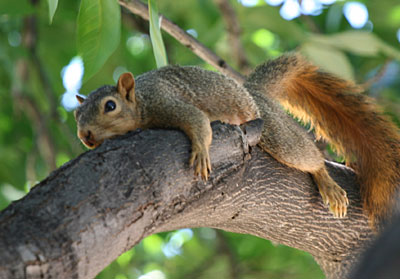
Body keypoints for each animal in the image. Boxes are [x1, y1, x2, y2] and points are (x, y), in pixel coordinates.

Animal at [74, 53, 400, 229]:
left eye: (110, 106)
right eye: (76, 114)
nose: (85, 136)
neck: (140, 101)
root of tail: (253, 93)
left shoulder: (165, 102)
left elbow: (197, 122)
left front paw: (201, 153)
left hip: (275, 132)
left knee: (309, 157)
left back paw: (328, 184)